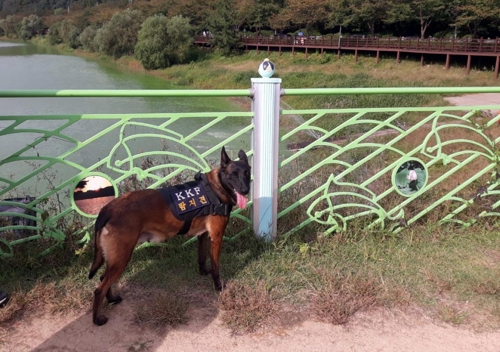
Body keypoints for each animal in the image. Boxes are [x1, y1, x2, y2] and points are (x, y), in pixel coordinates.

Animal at [88, 146, 252, 324]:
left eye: (247, 173)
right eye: (233, 175)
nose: (245, 190)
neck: (216, 187)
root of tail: (108, 208)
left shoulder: (203, 235)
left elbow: (201, 258)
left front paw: (203, 272)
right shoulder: (216, 237)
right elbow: (216, 268)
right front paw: (218, 287)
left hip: (115, 259)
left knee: (102, 278)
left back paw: (111, 299)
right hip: (121, 258)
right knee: (99, 288)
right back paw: (97, 319)